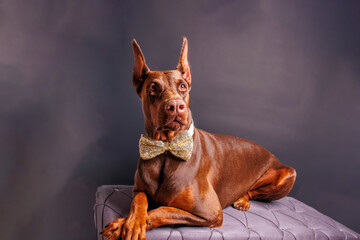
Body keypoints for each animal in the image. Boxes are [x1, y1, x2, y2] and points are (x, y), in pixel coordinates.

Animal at [101, 37, 296, 240]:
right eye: (153, 87)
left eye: (182, 86)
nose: (176, 106)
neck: (166, 149)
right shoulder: (138, 189)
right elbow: (139, 201)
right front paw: (130, 222)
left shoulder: (210, 212)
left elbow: (163, 210)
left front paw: (128, 225)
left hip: (288, 174)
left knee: (253, 191)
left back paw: (242, 199)